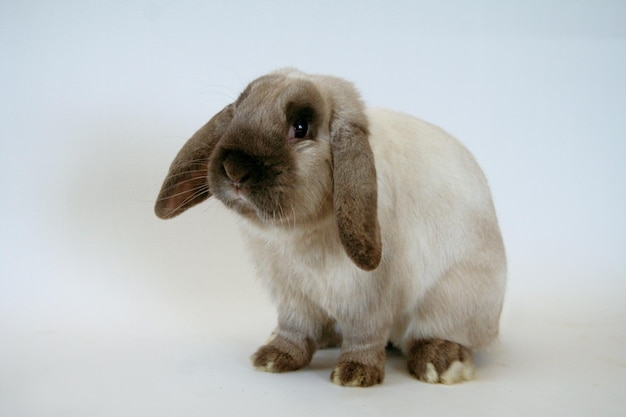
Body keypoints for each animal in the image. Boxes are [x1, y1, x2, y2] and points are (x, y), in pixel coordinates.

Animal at [154, 68, 504, 386]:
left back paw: (441, 363)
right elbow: (294, 329)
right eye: (238, 113)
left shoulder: (367, 297)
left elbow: (364, 334)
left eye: (300, 127)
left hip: (453, 300)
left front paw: (355, 373)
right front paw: (273, 358)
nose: (234, 168)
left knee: (436, 334)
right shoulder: (291, 295)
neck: (295, 232)